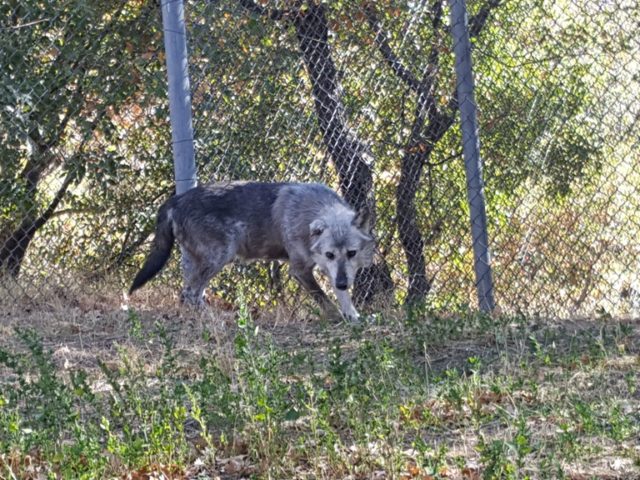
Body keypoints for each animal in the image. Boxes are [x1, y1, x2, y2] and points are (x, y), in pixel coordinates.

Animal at [128, 182, 376, 320]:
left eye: (351, 253)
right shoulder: (300, 270)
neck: (311, 210)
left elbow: (342, 297)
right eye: (330, 254)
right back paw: (216, 318)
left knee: (188, 294)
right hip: (220, 257)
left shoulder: (332, 272)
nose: (343, 282)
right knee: (190, 294)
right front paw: (339, 317)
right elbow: (325, 299)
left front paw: (353, 315)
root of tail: (175, 199)